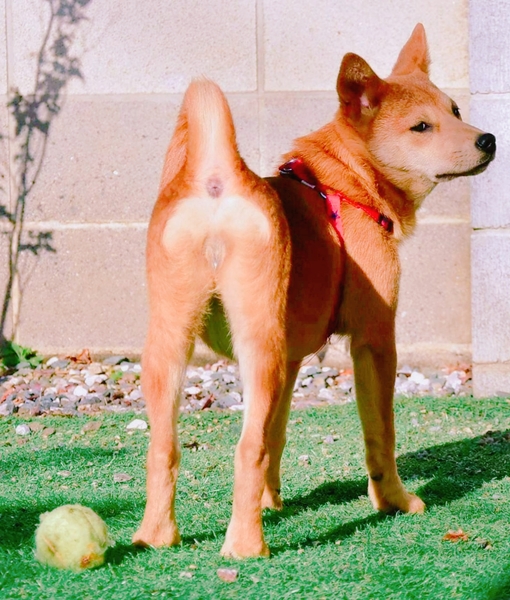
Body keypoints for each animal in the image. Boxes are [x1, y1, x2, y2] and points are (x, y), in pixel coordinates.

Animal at [133, 24, 496, 558]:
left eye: (455, 110)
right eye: (420, 127)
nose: (489, 139)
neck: (344, 184)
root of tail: (217, 181)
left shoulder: (290, 362)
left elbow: (277, 437)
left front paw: (271, 501)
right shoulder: (374, 341)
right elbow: (380, 434)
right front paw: (392, 500)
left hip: (171, 345)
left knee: (166, 448)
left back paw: (155, 537)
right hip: (256, 346)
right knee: (245, 448)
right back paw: (246, 547)